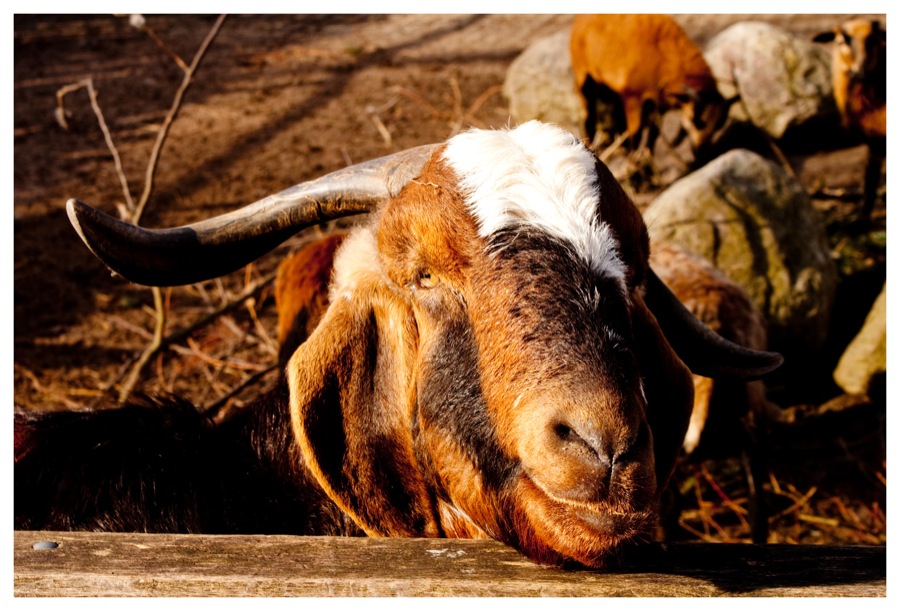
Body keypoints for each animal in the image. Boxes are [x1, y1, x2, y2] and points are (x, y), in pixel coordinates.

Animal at [568, 14, 732, 159]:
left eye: (718, 125)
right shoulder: (633, 98)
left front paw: (646, 159)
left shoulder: (659, 104)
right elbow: (636, 133)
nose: (701, 152)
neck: (663, 51)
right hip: (584, 78)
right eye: (694, 121)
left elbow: (654, 134)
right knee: (588, 118)